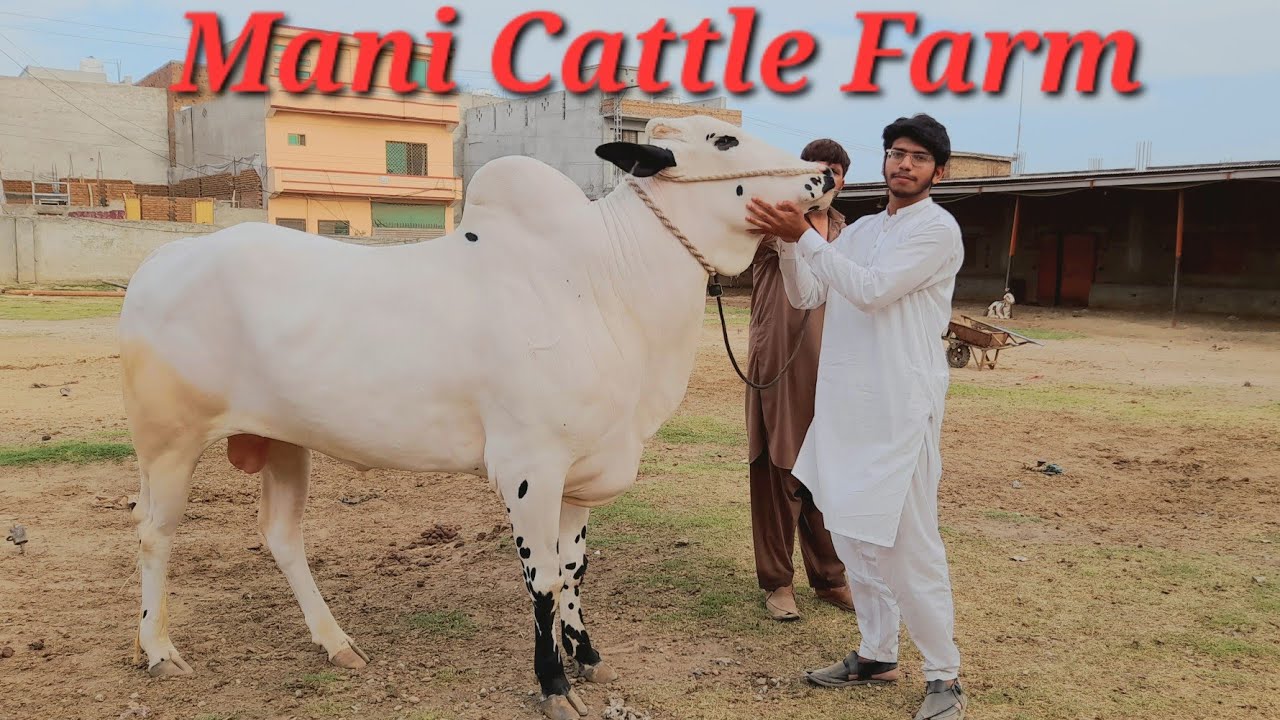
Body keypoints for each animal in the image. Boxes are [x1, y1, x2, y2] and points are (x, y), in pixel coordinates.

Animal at [118, 114, 837, 719]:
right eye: (724, 139)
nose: (825, 175)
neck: (605, 281)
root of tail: (162, 261)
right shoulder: (530, 469)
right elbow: (542, 580)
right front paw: (553, 682)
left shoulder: (580, 474)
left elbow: (574, 570)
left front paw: (588, 655)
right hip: (169, 444)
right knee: (154, 534)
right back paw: (159, 650)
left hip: (283, 441)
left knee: (281, 536)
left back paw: (335, 641)